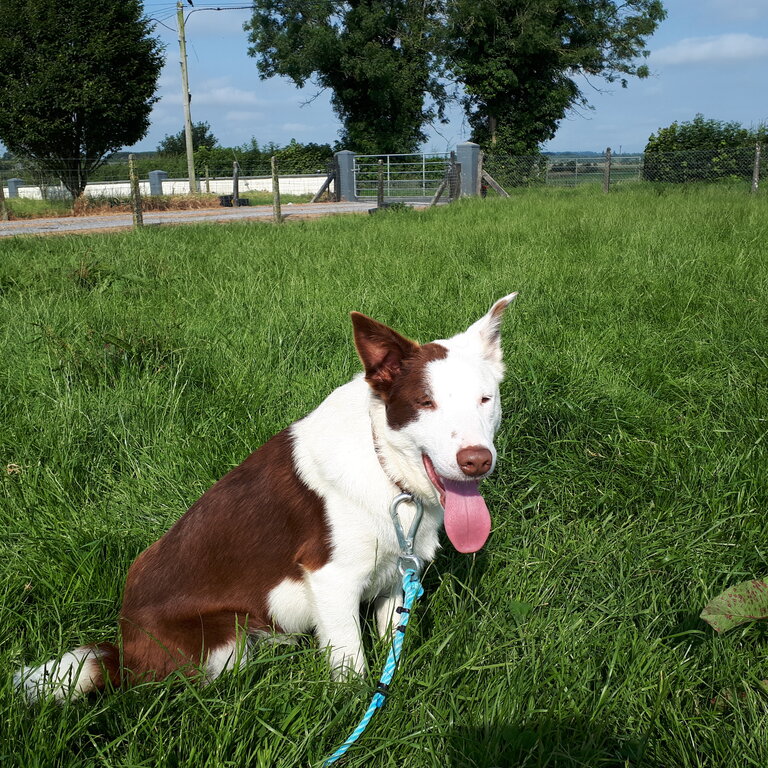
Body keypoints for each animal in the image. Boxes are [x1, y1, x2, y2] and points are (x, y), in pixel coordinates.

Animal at [15, 296, 516, 704]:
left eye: (485, 399)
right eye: (425, 403)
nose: (477, 461)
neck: (388, 468)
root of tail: (122, 650)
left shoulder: (396, 570)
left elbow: (393, 635)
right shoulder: (331, 579)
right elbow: (350, 665)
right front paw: (354, 712)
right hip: (222, 640)